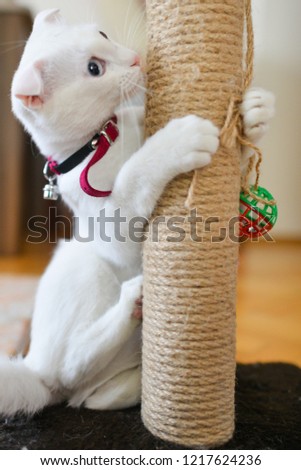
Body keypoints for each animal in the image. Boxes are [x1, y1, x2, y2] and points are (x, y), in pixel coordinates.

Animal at [0, 10, 272, 414]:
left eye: (102, 34)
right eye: (94, 68)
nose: (134, 59)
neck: (103, 141)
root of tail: (34, 370)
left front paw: (254, 111)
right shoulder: (112, 231)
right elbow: (133, 177)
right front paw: (177, 141)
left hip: (105, 382)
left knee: (87, 396)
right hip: (82, 257)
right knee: (70, 367)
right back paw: (131, 300)